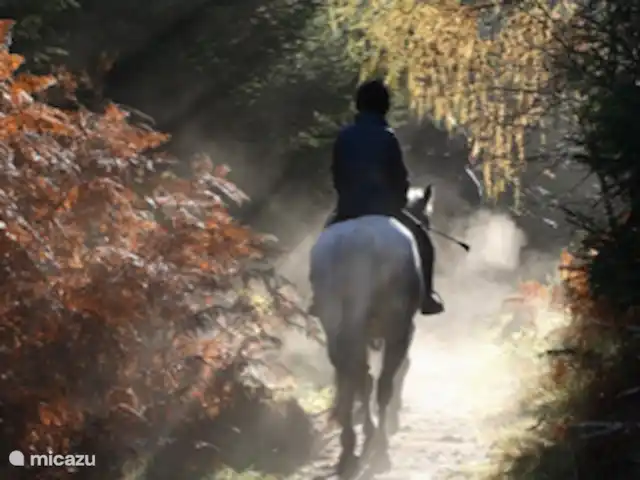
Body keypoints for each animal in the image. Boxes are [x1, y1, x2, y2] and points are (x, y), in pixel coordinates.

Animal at [309, 185, 435, 478]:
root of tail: (354, 245)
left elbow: (362, 382)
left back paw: (349, 450)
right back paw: (378, 447)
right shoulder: (402, 331)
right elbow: (390, 379)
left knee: (352, 379)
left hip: (337, 327)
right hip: (394, 329)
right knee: (380, 384)